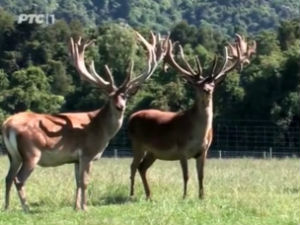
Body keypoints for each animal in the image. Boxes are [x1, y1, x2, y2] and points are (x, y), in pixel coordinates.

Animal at [1, 31, 166, 211]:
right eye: (110, 96)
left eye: (125, 95)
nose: (120, 106)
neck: (100, 129)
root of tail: (7, 126)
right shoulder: (88, 152)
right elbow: (85, 181)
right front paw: (85, 207)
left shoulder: (76, 158)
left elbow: (78, 182)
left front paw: (76, 207)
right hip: (32, 152)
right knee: (19, 179)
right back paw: (26, 208)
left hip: (13, 155)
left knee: (8, 177)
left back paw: (7, 207)